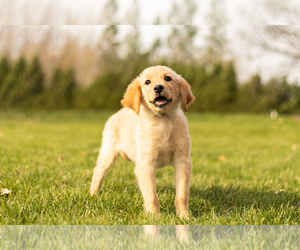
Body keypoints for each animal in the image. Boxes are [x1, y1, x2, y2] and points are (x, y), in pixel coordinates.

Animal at [89, 65, 195, 218]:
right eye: (147, 82)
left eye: (168, 78)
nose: (158, 87)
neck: (163, 121)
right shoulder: (147, 161)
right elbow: (151, 194)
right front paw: (154, 218)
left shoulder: (182, 160)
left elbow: (182, 194)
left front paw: (184, 217)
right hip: (108, 151)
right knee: (99, 171)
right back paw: (93, 194)